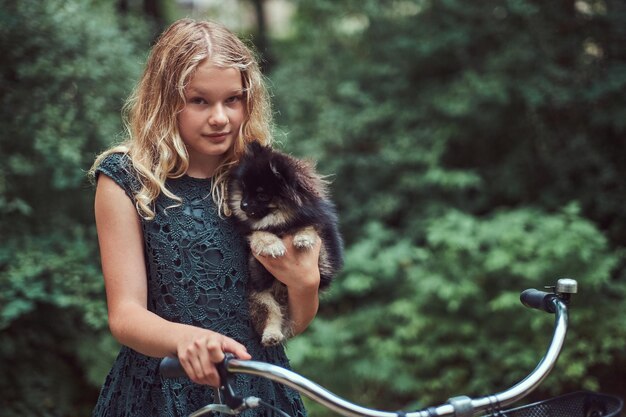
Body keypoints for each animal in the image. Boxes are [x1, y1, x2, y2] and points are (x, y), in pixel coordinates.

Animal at [227, 141, 342, 346]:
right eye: (244, 189)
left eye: (262, 195)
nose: (243, 205)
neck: (281, 223)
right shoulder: (257, 273)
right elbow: (258, 233)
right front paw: (272, 245)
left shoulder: (325, 263)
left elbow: (312, 229)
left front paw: (303, 238)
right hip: (260, 298)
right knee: (271, 314)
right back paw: (271, 334)